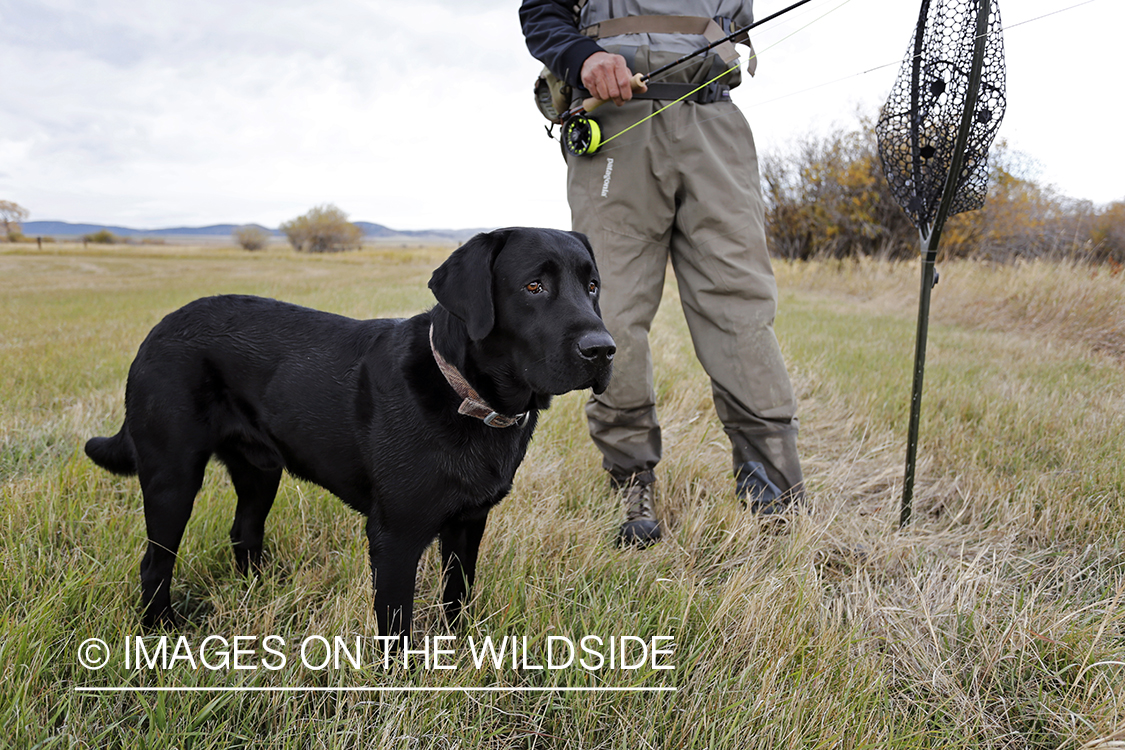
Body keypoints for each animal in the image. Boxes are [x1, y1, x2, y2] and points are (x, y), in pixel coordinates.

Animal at [86, 227, 616, 638]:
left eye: (592, 286)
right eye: (532, 286)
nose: (603, 349)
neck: (465, 396)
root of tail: (157, 330)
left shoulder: (469, 522)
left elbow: (458, 598)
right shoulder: (394, 536)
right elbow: (396, 629)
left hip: (260, 469)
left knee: (243, 532)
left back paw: (260, 595)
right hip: (172, 476)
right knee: (155, 563)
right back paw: (161, 630)